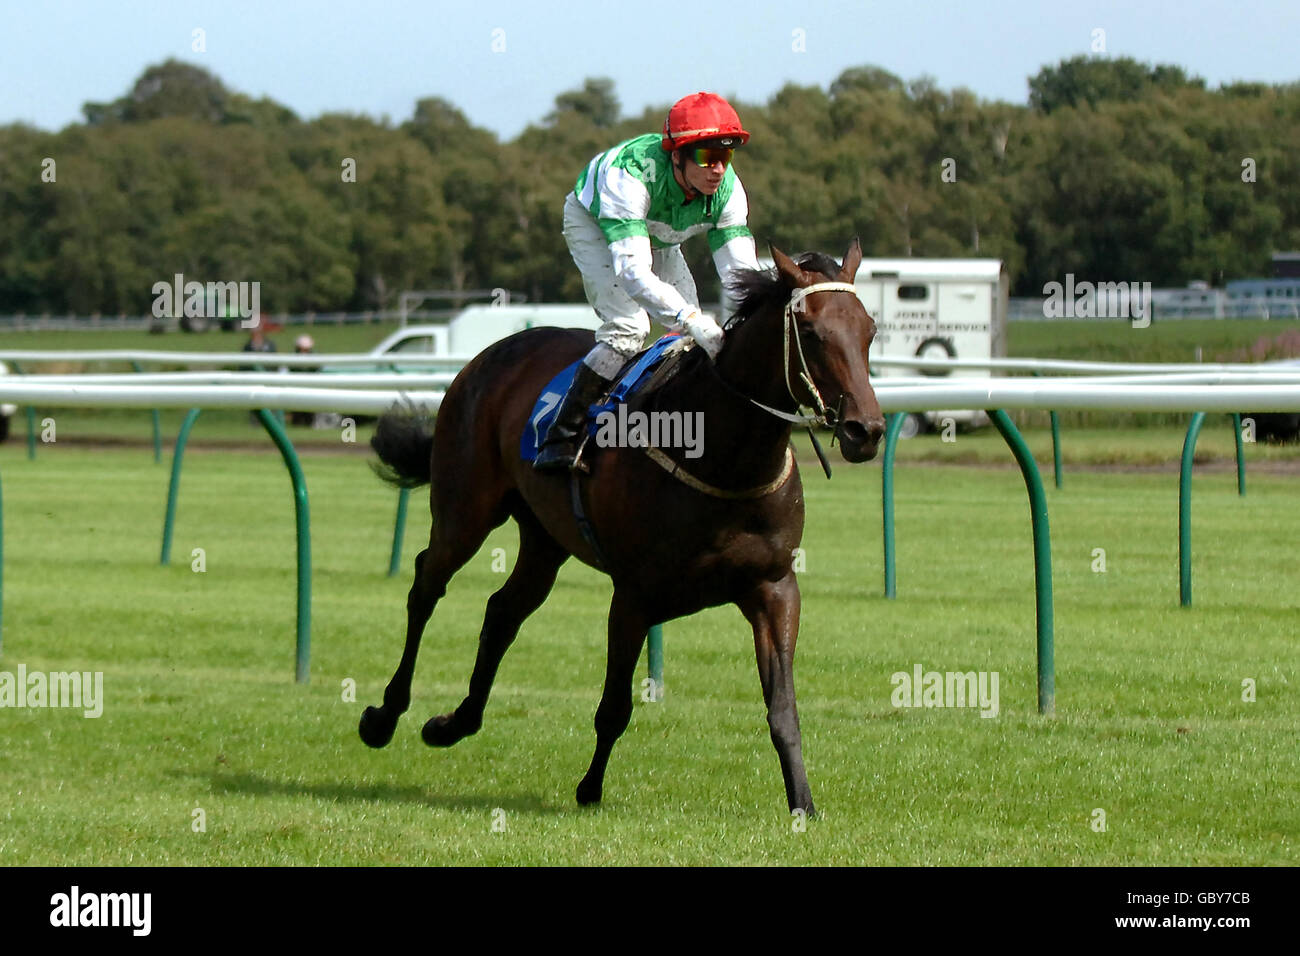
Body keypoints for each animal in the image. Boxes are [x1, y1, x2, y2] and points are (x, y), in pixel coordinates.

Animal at [361, 239, 889, 816]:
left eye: (868, 329)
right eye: (811, 332)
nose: (866, 430)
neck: (721, 454)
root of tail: (490, 355)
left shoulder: (774, 588)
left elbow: (783, 710)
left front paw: (803, 806)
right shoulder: (635, 593)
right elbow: (614, 706)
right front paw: (590, 790)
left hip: (544, 537)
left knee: (502, 611)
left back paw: (454, 723)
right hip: (466, 511)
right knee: (426, 586)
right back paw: (384, 716)